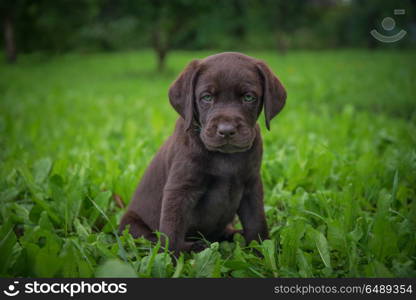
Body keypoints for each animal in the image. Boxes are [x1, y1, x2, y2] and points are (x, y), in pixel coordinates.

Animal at [120, 52, 286, 254]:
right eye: (207, 97)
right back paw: (195, 247)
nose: (226, 130)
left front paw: (261, 253)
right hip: (131, 225)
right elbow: (171, 233)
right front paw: (171, 259)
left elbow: (256, 223)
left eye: (248, 97)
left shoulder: (251, 186)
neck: (225, 157)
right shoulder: (180, 190)